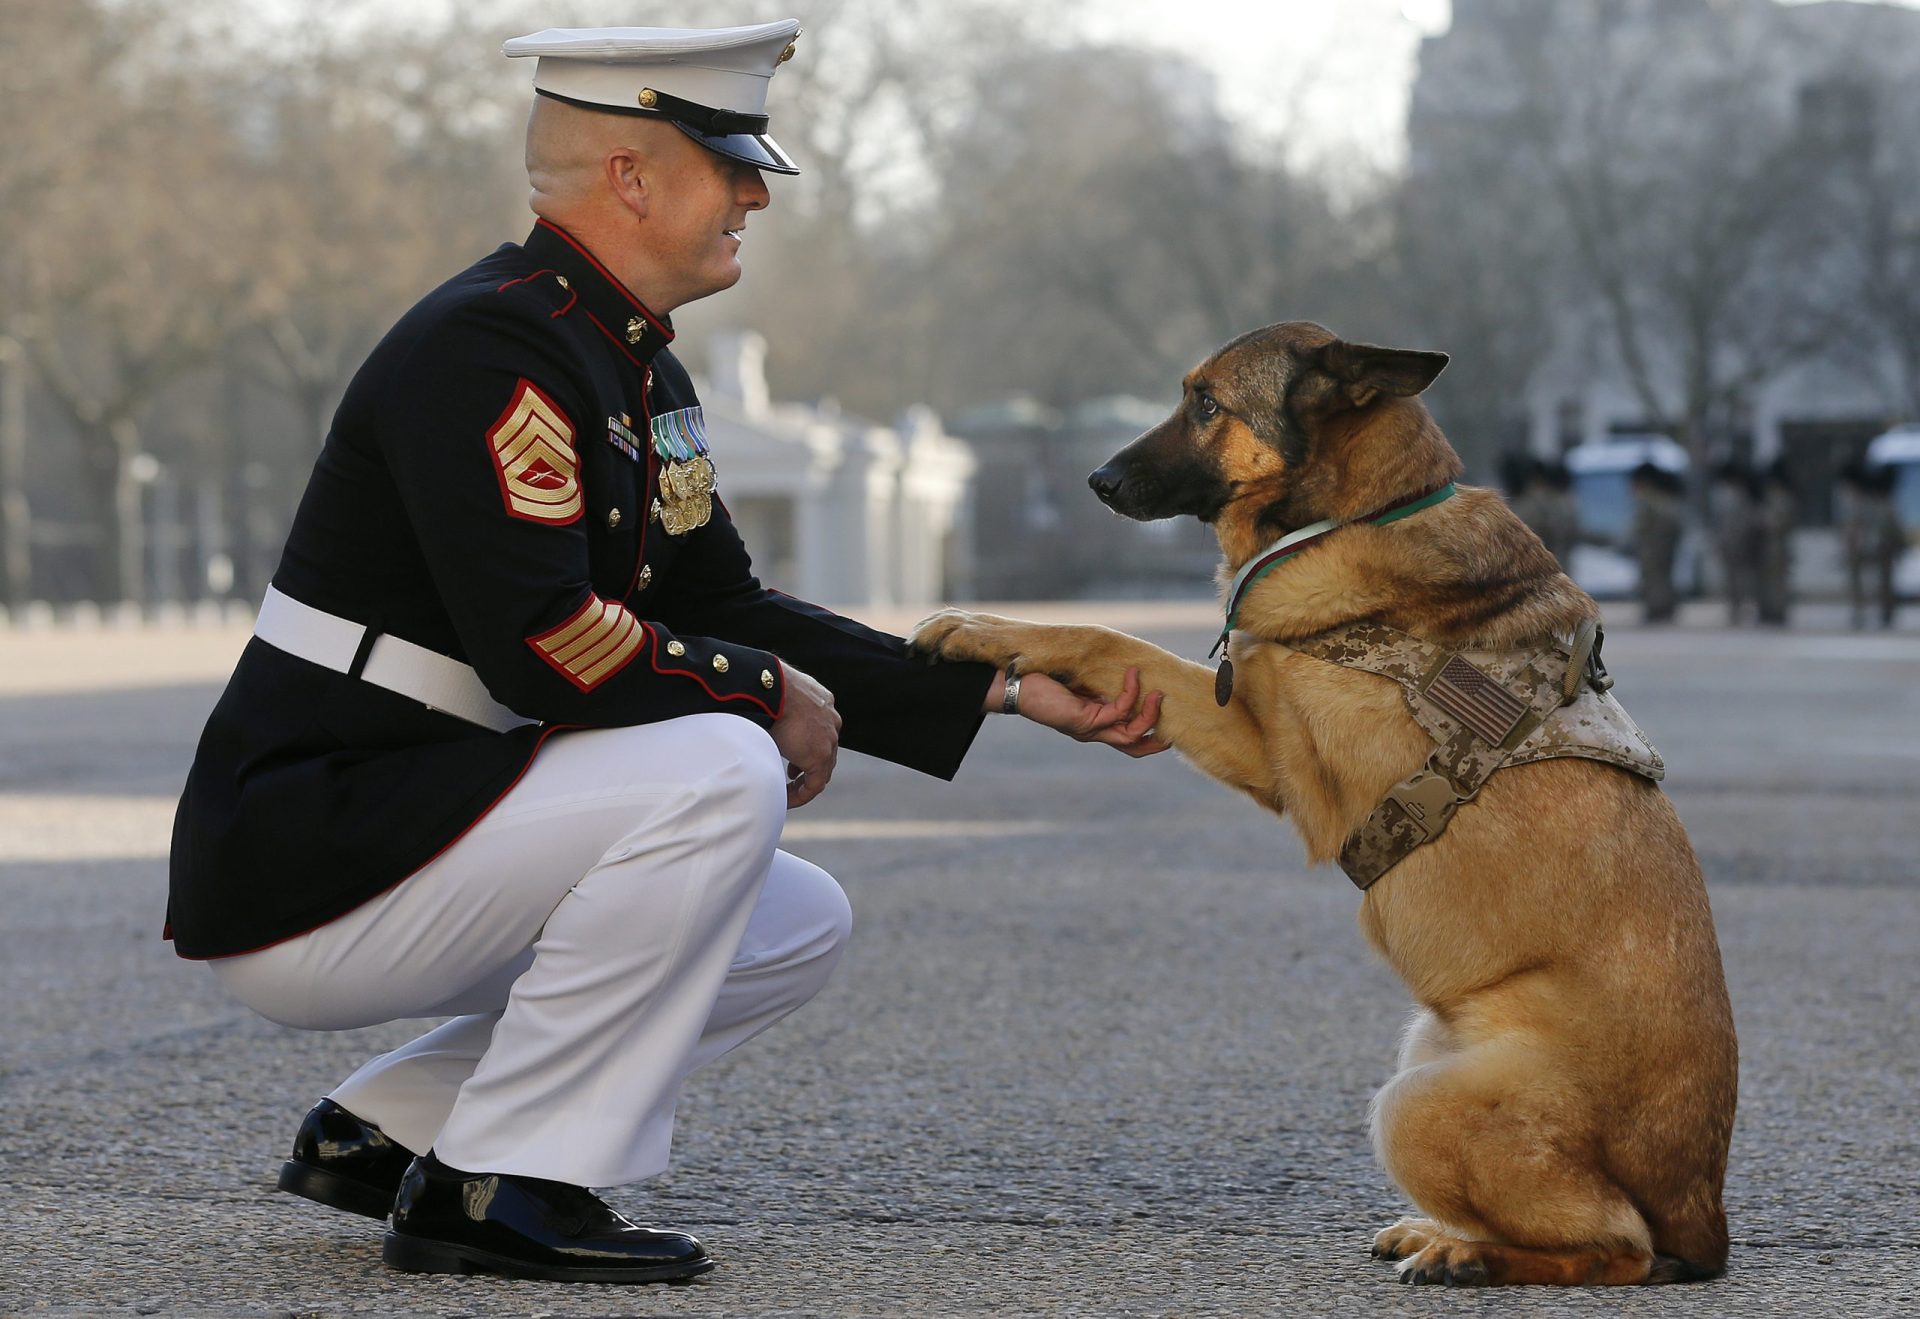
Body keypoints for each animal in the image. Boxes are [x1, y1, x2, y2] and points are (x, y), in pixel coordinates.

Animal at [913, 322, 1743, 1290]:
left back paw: (1467, 1252)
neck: (1360, 513)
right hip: (1423, 1052)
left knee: (1617, 1246)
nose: (1096, 480)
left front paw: (979, 626)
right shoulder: (1252, 732)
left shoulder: (1281, 754)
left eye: (1206, 402)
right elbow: (1117, 644)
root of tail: (1703, 1215)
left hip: (1415, 1104)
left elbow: (1108, 635)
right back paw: (1435, 1230)